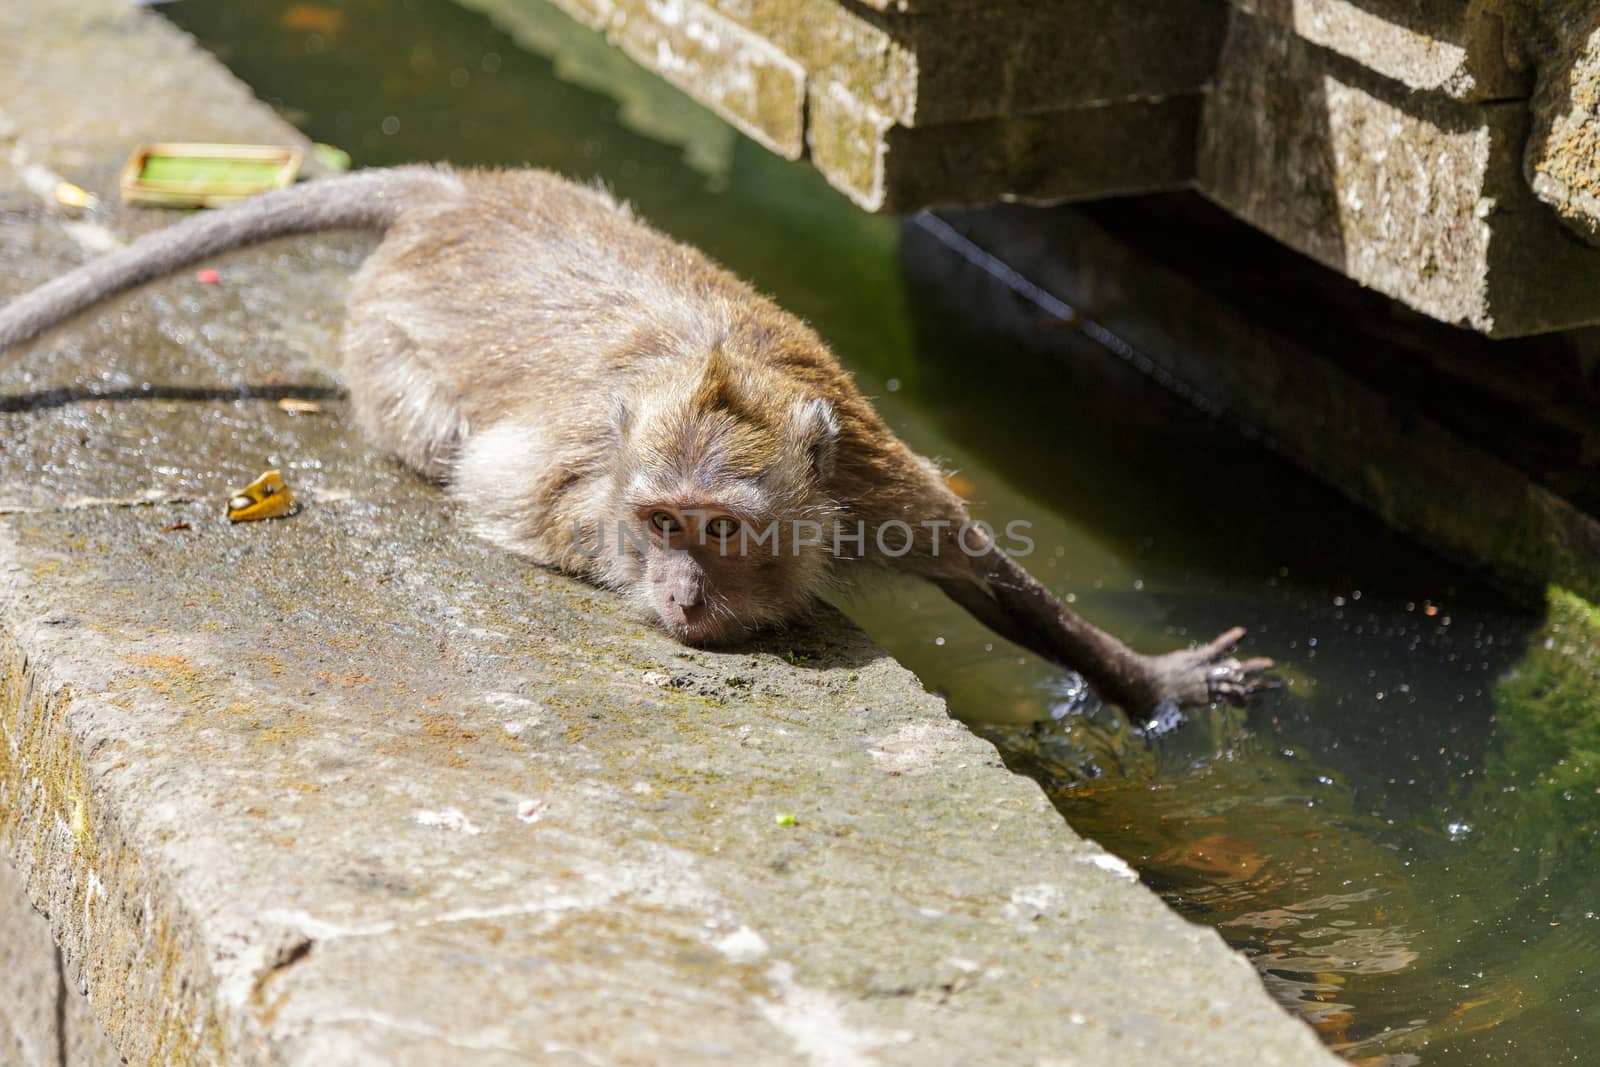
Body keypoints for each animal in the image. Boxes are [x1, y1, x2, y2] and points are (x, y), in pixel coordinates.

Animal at [0, 164, 1273, 716]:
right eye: (661, 523)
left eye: (721, 529)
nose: (679, 589)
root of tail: (460, 196)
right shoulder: (577, 481)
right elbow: (508, 490)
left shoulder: (875, 487)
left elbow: (994, 585)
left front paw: (1152, 679)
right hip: (387, 353)